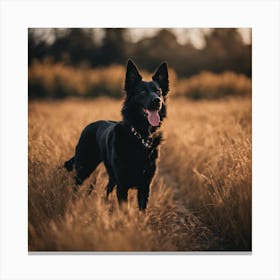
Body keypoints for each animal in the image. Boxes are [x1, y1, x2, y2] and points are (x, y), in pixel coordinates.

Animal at [65, 59, 170, 210]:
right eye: (142, 92)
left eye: (159, 92)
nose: (157, 101)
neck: (140, 136)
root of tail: (90, 125)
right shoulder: (122, 186)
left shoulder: (145, 186)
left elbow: (142, 211)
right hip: (84, 168)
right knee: (75, 186)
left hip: (110, 176)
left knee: (107, 190)